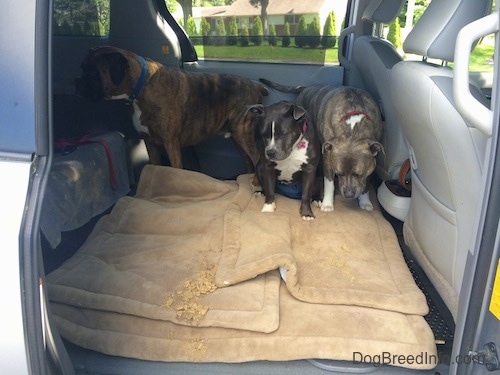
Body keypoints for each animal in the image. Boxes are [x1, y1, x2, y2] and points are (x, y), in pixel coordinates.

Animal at [258, 79, 382, 212]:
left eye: (360, 174)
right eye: (338, 173)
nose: (348, 194)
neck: (353, 129)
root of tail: (306, 87)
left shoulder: (372, 160)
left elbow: (366, 183)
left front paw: (365, 201)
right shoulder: (327, 155)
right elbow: (329, 182)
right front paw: (327, 204)